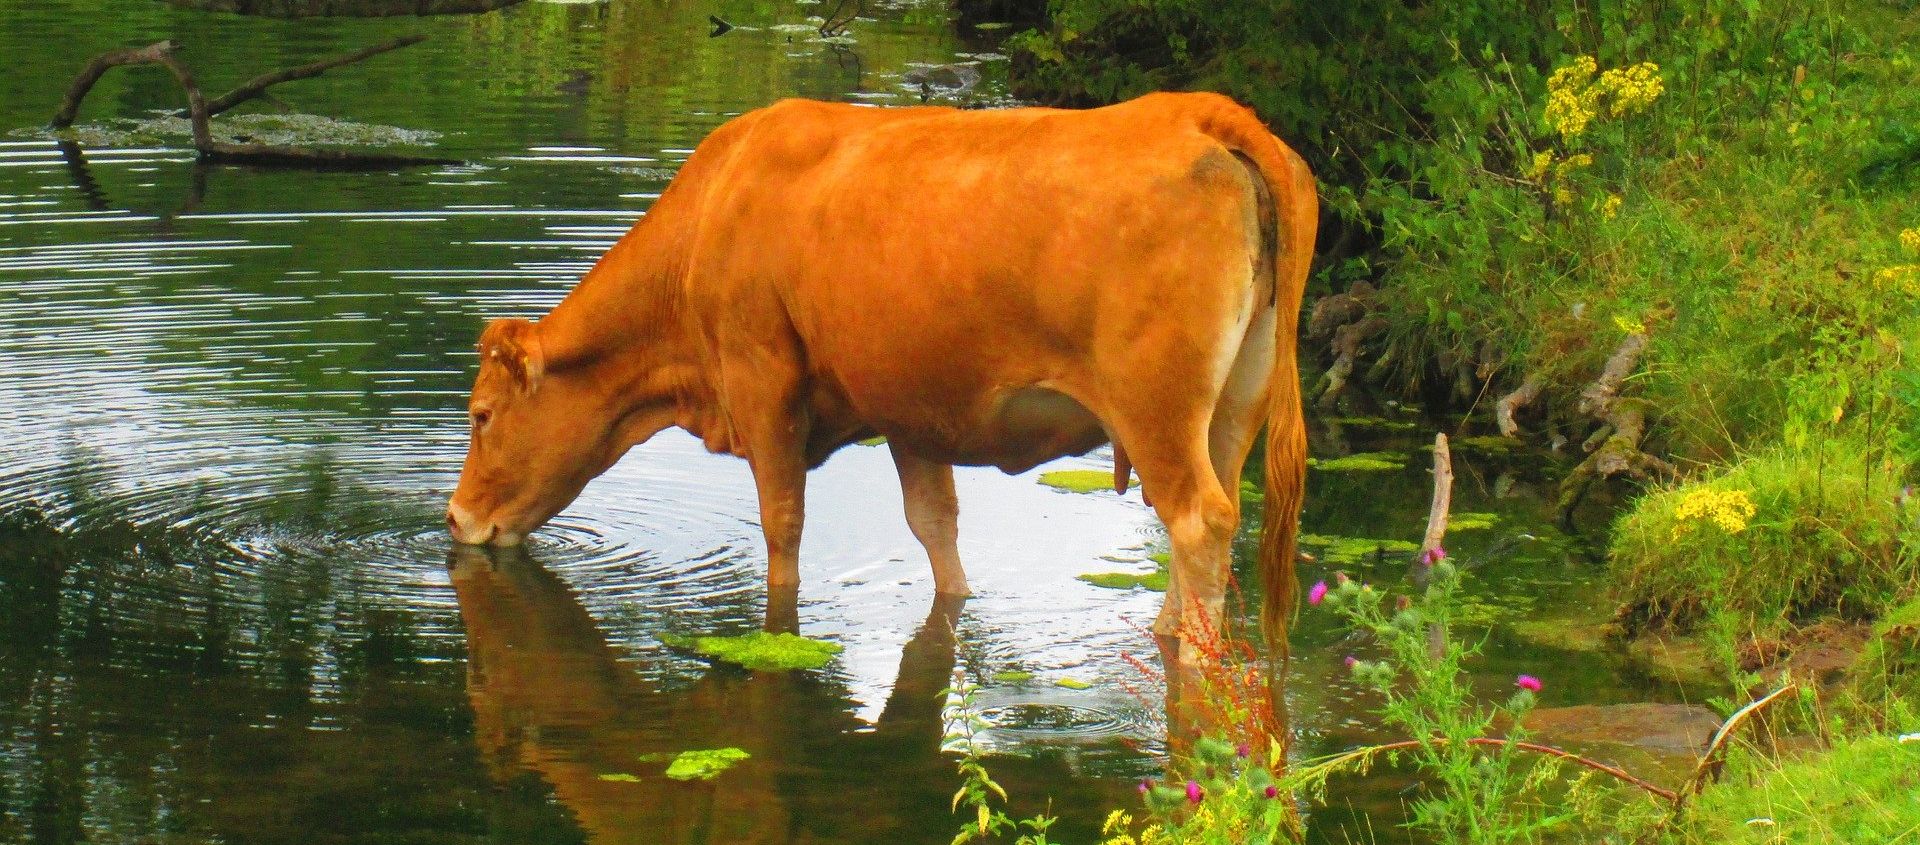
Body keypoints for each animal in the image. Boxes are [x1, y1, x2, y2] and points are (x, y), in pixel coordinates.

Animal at [445, 92, 1318, 657]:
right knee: (1216, 512)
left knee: (1200, 519)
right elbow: (935, 527)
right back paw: (1170, 631)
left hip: (1156, 408)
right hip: (1235, 401)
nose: (454, 519)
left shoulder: (762, 382)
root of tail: (1196, 109)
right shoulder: (910, 408)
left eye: (482, 414)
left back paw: (1195, 658)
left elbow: (782, 526)